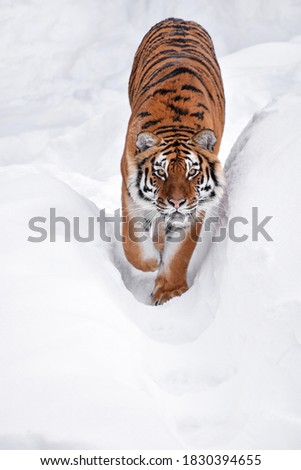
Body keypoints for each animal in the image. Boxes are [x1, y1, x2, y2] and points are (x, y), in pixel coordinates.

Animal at [120, 17, 224, 304]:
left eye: (192, 173)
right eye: (161, 173)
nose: (176, 202)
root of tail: (180, 19)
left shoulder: (195, 206)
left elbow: (180, 253)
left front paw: (170, 292)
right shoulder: (129, 191)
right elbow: (133, 242)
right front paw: (151, 262)